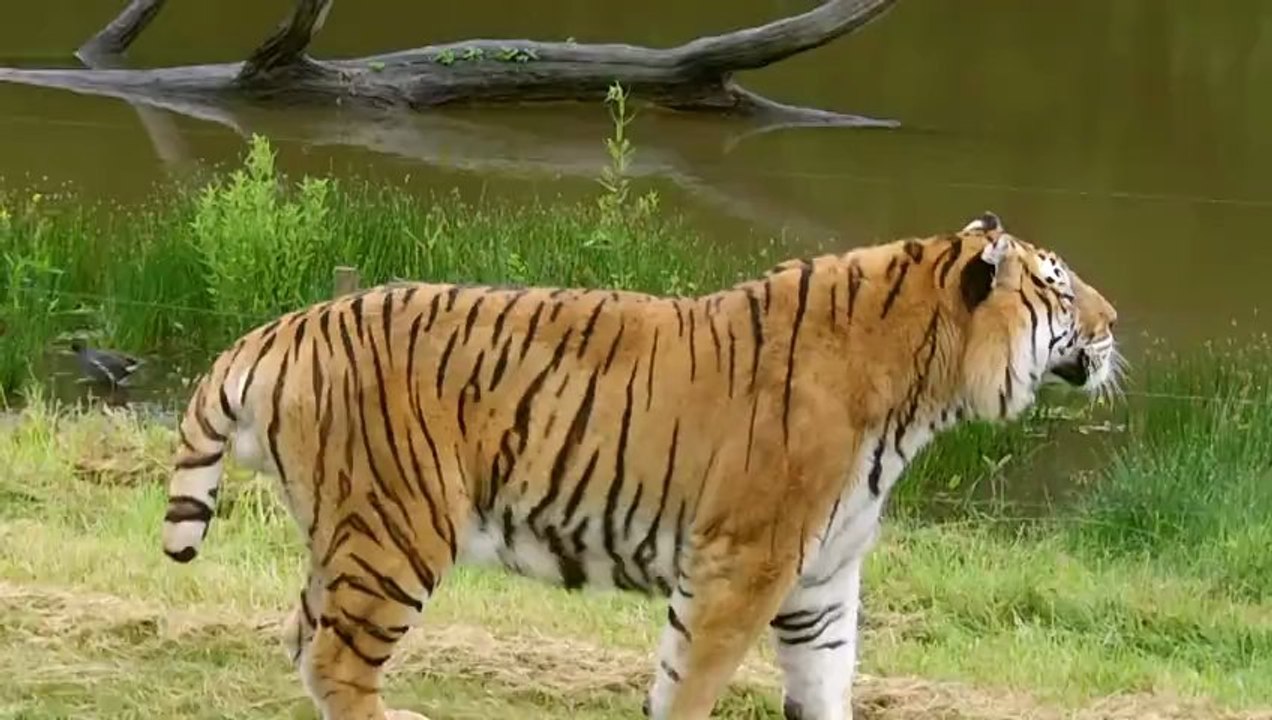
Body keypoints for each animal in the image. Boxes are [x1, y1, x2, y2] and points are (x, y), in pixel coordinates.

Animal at [161, 211, 1120, 720]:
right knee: (335, 660)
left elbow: (826, 687)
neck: (922, 394)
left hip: (347, 538)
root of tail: (282, 327)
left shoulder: (819, 581)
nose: (1116, 323)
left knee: (302, 642)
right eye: (1059, 286)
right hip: (397, 534)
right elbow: (689, 684)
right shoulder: (742, 565)